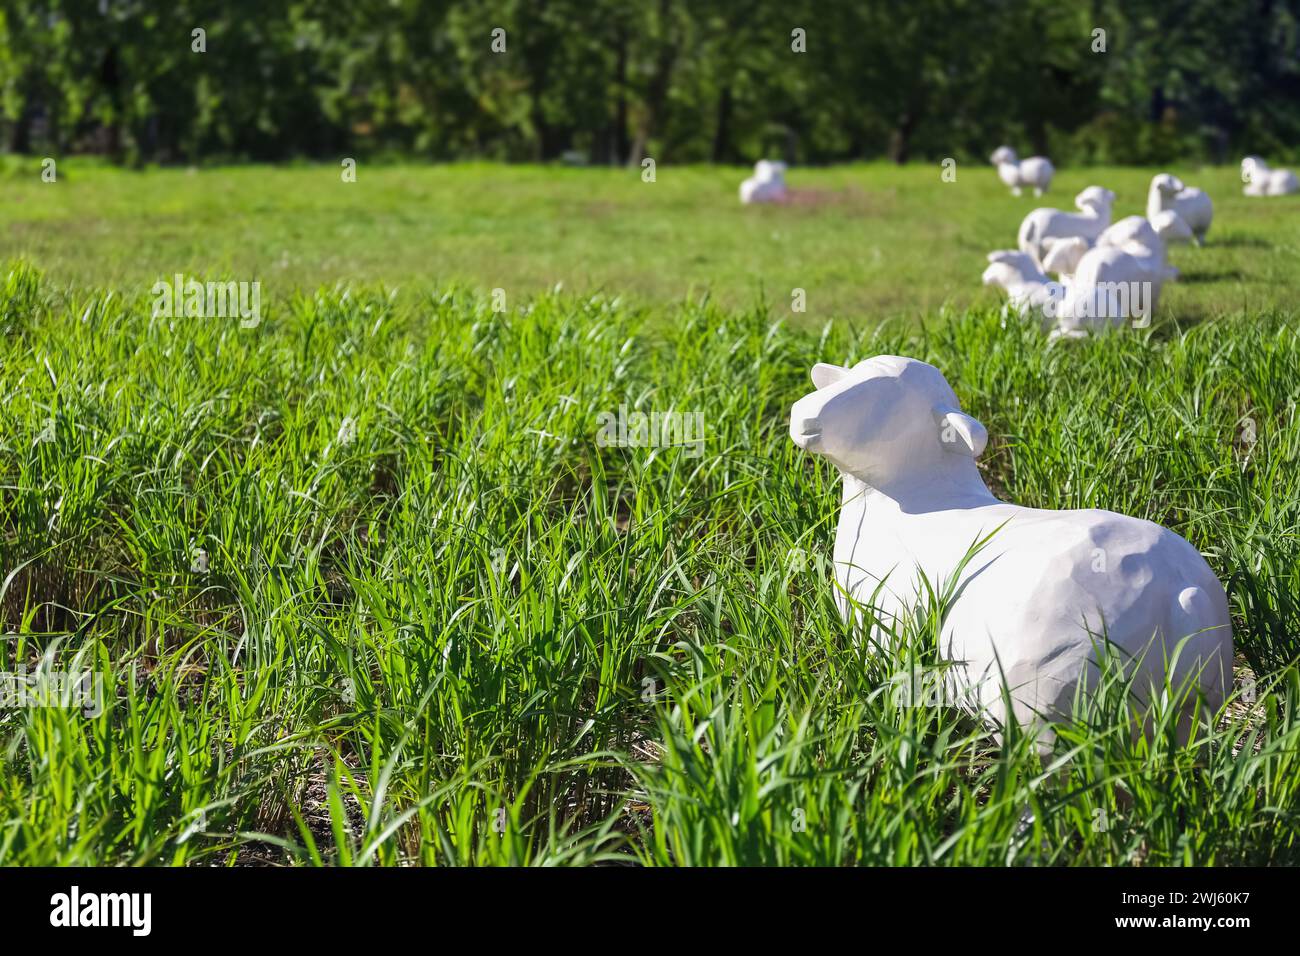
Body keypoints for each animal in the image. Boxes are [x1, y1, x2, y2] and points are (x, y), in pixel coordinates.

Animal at [788, 355, 1232, 747]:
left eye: (885, 399)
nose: (802, 414)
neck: (921, 498)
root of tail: (1182, 595)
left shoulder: (887, 635)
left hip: (1046, 699)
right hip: (1194, 710)